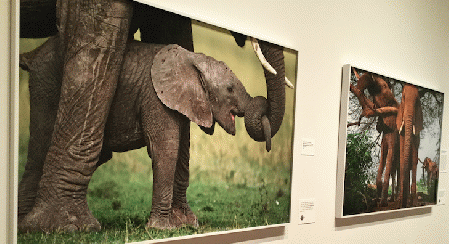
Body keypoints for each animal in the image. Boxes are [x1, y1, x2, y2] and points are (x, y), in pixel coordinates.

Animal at [18, 33, 288, 231]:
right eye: (230, 89)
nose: (268, 147)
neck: (192, 60)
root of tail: (33, 54)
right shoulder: (154, 97)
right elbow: (166, 148)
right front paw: (161, 229)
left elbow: (180, 147)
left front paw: (184, 225)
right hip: (48, 85)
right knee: (41, 146)